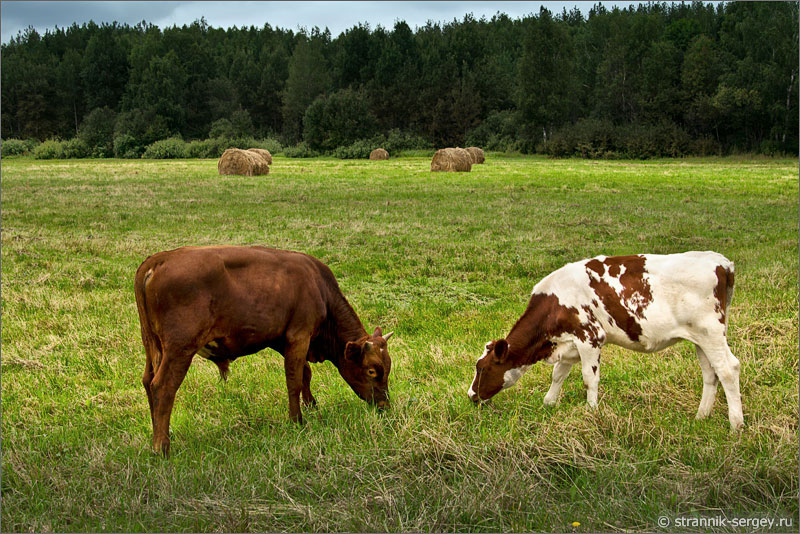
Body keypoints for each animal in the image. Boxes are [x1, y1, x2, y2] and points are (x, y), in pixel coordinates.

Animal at [134, 247, 394, 456]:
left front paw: (312, 405)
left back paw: (158, 434)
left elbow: (305, 374)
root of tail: (160, 259)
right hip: (179, 349)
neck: (318, 286)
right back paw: (162, 447)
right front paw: (297, 420)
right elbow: (294, 380)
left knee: (148, 381)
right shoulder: (299, 335)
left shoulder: (282, 339)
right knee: (163, 387)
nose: (385, 405)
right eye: (372, 371)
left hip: (152, 345)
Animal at [468, 251, 744, 432]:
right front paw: (549, 403)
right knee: (710, 373)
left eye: (482, 368)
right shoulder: (569, 344)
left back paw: (736, 424)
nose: (471, 395)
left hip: (711, 332)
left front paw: (591, 412)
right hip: (700, 338)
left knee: (728, 369)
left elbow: (589, 379)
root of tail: (721, 263)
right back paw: (701, 416)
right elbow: (558, 374)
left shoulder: (589, 337)